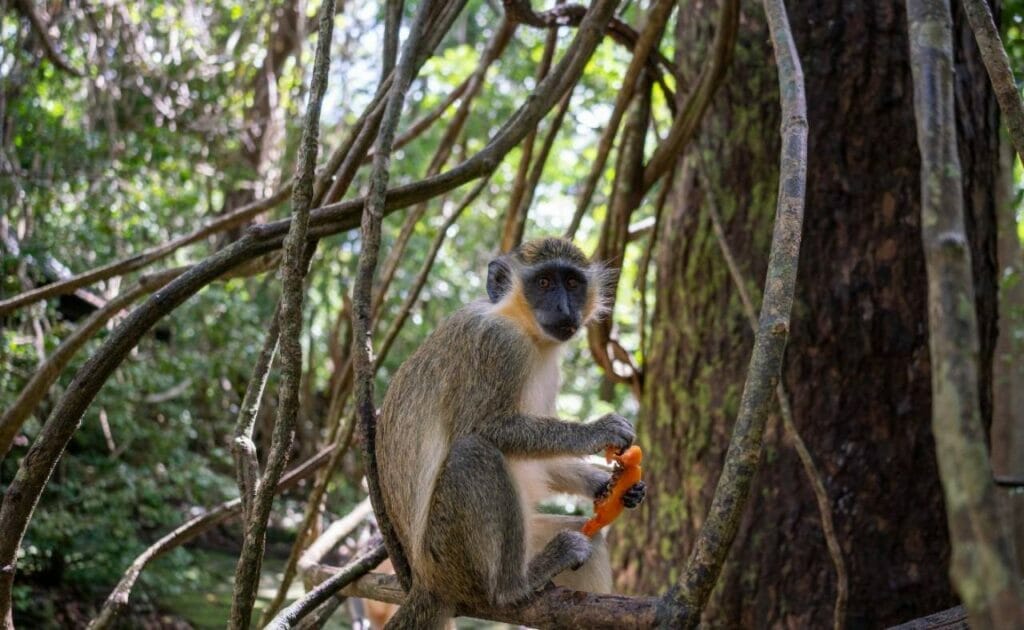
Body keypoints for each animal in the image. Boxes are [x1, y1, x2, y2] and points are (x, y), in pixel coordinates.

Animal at [376, 237, 647, 630]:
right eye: (544, 282)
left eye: (572, 283)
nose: (564, 308)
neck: (520, 322)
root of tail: (426, 581)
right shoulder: (499, 345)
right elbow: (481, 428)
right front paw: (598, 431)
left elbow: (542, 461)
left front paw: (609, 485)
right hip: (452, 560)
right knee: (473, 452)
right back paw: (514, 585)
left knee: (592, 543)